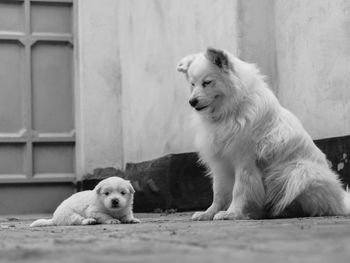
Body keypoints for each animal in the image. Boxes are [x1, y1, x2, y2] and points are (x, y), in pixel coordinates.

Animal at [178, 47, 350, 221]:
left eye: (207, 82)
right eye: (192, 84)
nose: (191, 102)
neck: (231, 109)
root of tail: (342, 202)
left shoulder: (244, 161)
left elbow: (239, 190)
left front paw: (232, 213)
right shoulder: (220, 163)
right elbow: (218, 192)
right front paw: (208, 213)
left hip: (298, 172)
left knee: (316, 206)